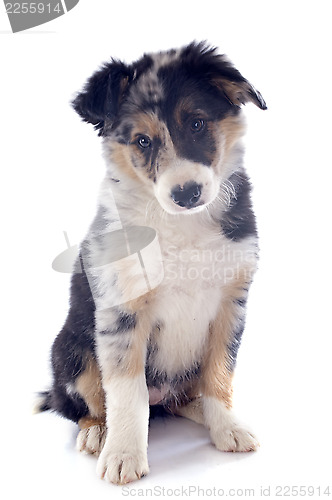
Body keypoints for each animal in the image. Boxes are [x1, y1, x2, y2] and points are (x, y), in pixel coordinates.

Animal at [39, 42, 268, 484]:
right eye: (142, 141)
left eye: (197, 123)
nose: (187, 193)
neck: (179, 224)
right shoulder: (122, 311)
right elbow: (128, 391)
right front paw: (123, 455)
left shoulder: (231, 303)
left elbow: (221, 373)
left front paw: (227, 427)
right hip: (71, 351)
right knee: (83, 404)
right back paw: (98, 434)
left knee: (181, 397)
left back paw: (201, 413)